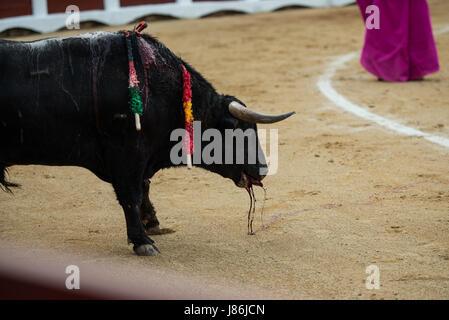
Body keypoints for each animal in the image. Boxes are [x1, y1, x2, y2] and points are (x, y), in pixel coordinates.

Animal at [0, 31, 292, 258]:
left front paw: (152, 223)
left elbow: (144, 187)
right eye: (237, 129)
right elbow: (131, 194)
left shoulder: (140, 157)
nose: (262, 170)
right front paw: (142, 241)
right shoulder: (126, 154)